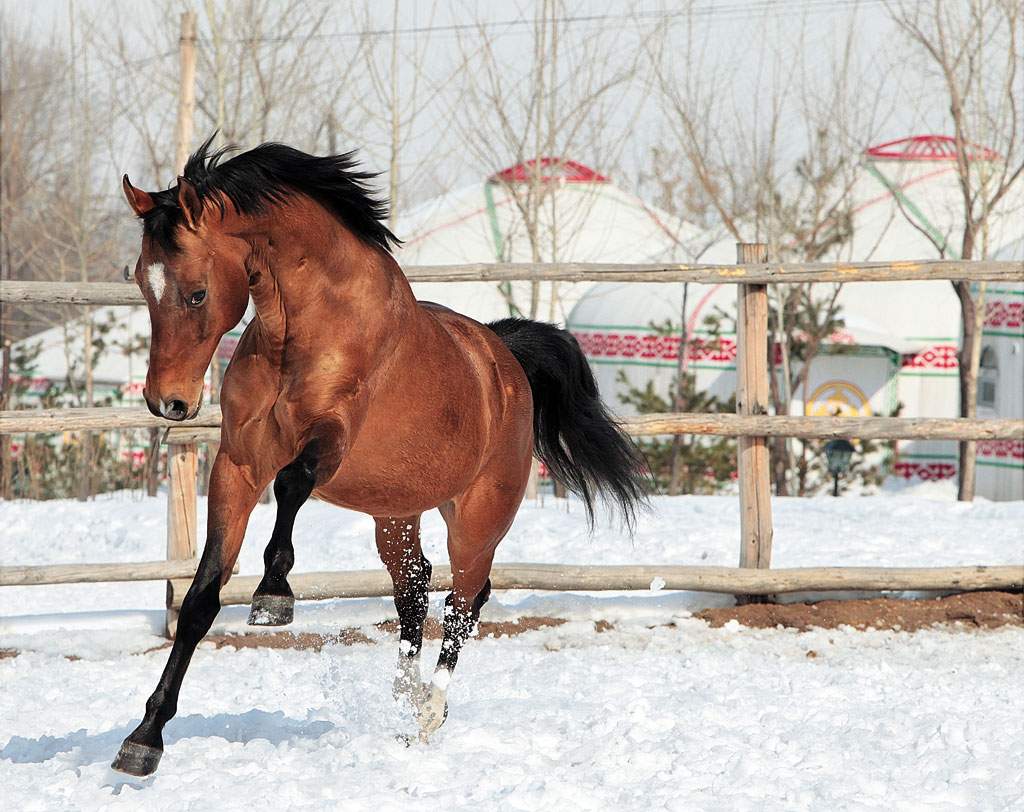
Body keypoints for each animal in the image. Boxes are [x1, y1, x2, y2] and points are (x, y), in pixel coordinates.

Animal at [108, 136, 643, 774]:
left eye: (197, 292)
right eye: (143, 285)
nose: (168, 402)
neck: (305, 329)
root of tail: (505, 360)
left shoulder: (331, 441)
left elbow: (292, 483)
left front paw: (273, 596)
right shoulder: (238, 466)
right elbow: (199, 599)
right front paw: (143, 740)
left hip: (478, 517)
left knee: (466, 598)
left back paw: (430, 712)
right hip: (396, 511)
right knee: (414, 587)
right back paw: (405, 701)